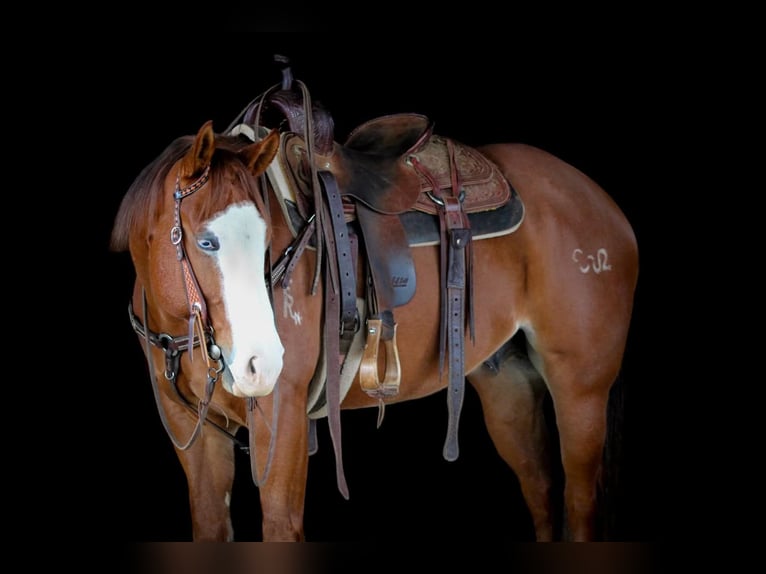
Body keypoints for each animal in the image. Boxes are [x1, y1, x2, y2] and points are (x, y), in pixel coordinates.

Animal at [109, 66, 638, 542]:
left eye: (264, 242)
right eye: (206, 242)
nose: (263, 363)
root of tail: (603, 204)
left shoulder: (282, 420)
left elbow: (281, 526)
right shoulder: (194, 436)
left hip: (580, 388)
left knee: (579, 503)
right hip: (507, 381)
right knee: (543, 492)